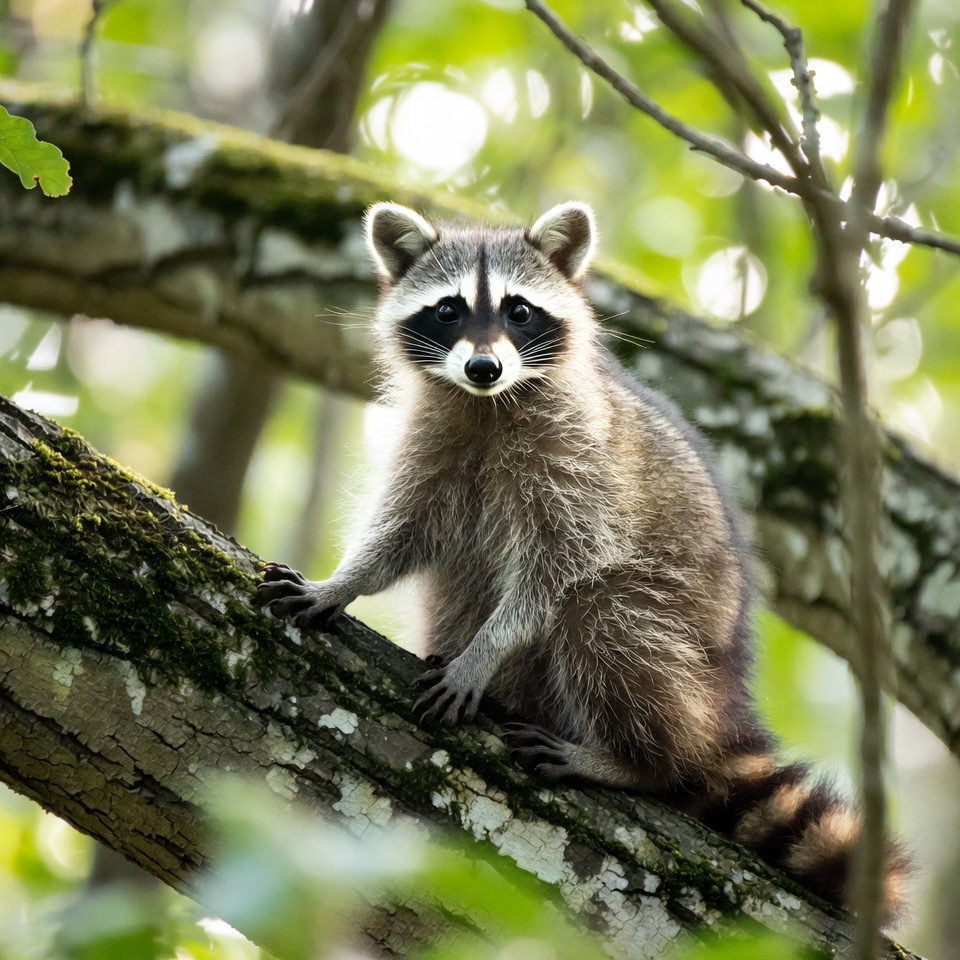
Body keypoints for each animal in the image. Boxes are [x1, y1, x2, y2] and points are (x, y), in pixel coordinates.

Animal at [259, 201, 909, 921]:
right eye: (448, 310)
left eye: (517, 310)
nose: (483, 367)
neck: (487, 404)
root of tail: (720, 701)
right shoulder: (433, 440)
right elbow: (404, 532)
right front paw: (343, 582)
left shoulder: (581, 462)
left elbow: (560, 569)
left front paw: (487, 650)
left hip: (674, 635)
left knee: (603, 616)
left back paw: (639, 762)